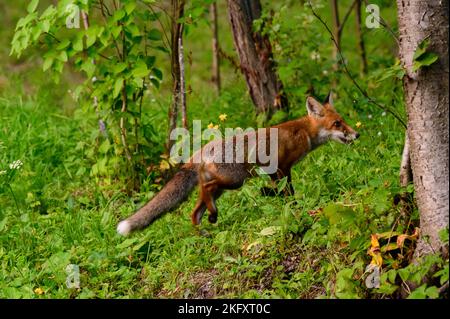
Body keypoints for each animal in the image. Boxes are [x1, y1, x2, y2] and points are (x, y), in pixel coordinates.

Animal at [117, 94, 358, 236]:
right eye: (337, 123)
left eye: (343, 120)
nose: (357, 134)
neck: (304, 132)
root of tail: (201, 150)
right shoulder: (281, 167)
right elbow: (287, 192)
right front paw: (288, 203)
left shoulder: (275, 171)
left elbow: (280, 191)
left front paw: (270, 195)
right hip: (234, 181)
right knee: (206, 190)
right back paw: (212, 217)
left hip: (223, 187)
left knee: (195, 210)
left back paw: (204, 230)